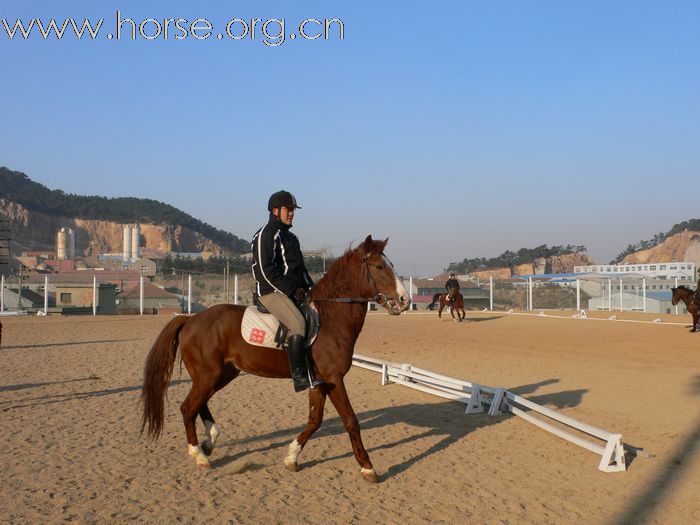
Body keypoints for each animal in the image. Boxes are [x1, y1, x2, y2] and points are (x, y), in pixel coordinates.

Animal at [141, 235, 410, 482]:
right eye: (379, 267)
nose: (405, 301)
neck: (331, 318)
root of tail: (190, 319)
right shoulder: (334, 378)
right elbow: (350, 420)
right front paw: (368, 467)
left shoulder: (319, 381)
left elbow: (315, 420)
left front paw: (292, 458)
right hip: (209, 375)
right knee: (188, 408)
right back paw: (200, 456)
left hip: (220, 374)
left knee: (199, 404)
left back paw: (210, 442)